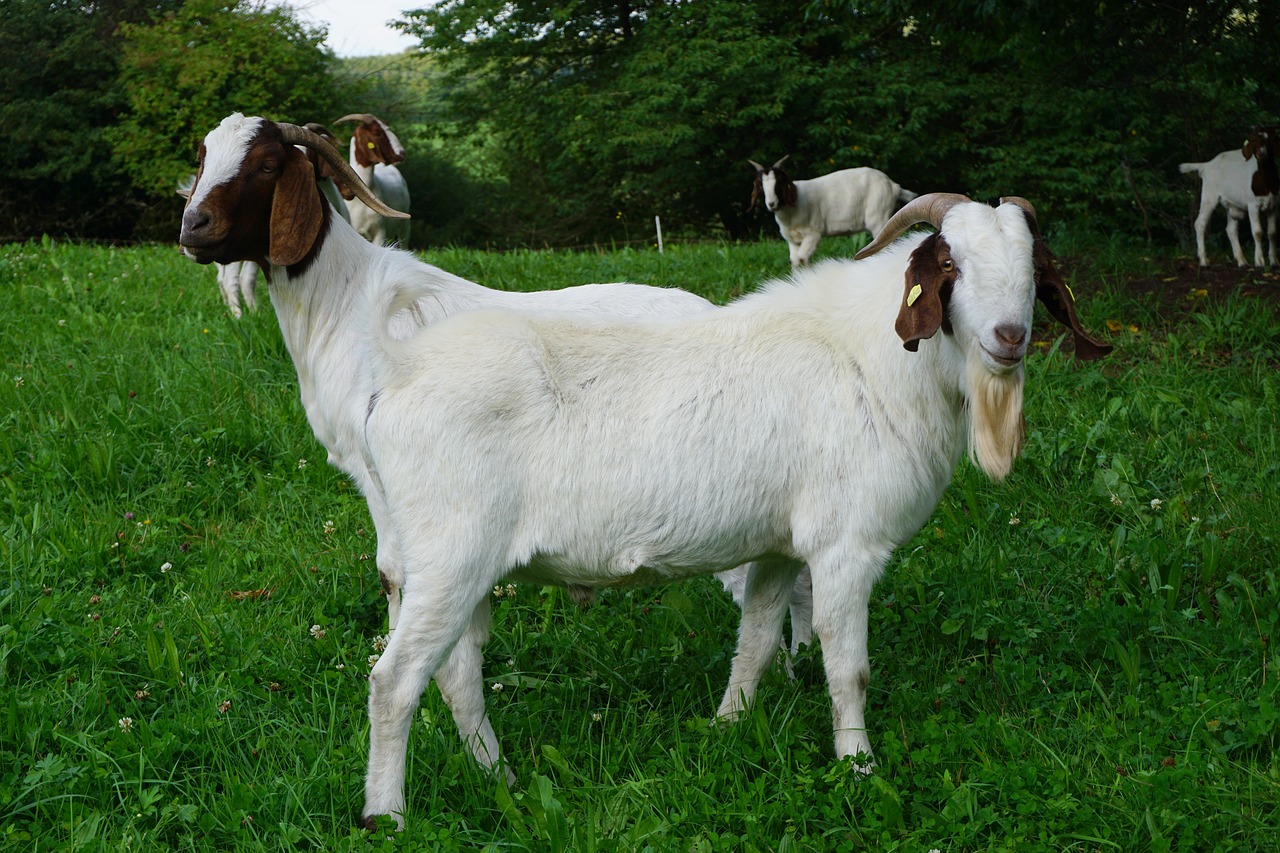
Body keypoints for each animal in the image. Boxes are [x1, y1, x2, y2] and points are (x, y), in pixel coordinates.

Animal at [747, 156, 921, 266]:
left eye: (778, 183)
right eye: (761, 185)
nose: (771, 203)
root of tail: (893, 185)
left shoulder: (813, 233)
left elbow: (803, 258)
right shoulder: (792, 240)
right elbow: (796, 261)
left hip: (879, 217)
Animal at [1177, 125, 1280, 266]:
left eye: (1270, 140)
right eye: (1253, 140)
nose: (1261, 154)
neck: (1266, 183)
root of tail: (1207, 164)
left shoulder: (1274, 206)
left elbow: (1273, 233)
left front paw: (1274, 261)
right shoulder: (1252, 205)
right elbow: (1257, 232)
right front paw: (1259, 261)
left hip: (1231, 205)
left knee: (1231, 230)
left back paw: (1242, 261)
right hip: (1209, 196)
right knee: (1200, 223)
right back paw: (1203, 260)